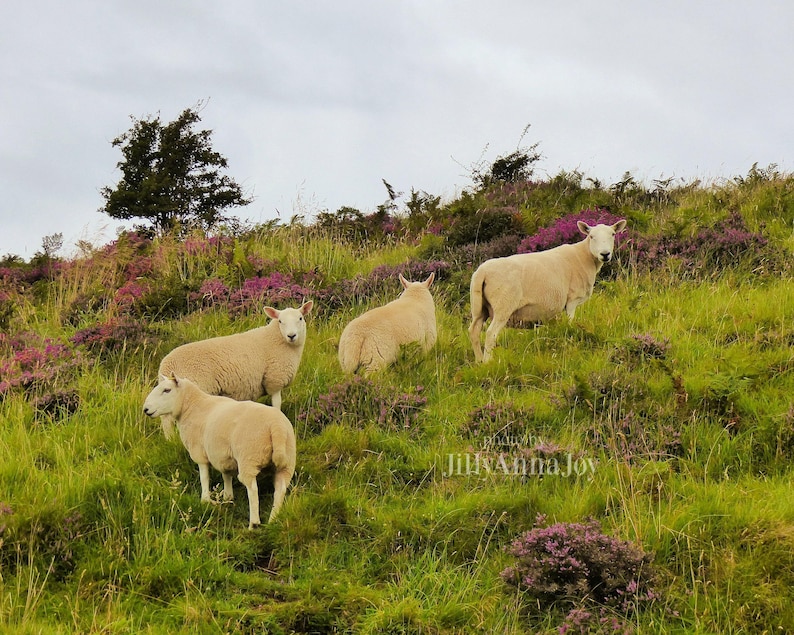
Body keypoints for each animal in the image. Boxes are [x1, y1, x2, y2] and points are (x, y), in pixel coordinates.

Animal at [143, 374, 296, 528]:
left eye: (167, 390)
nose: (145, 409)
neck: (192, 407)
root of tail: (276, 426)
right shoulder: (222, 454)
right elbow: (226, 474)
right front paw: (228, 497)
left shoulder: (199, 451)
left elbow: (204, 476)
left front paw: (205, 499)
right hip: (287, 462)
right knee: (280, 489)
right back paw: (273, 519)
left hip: (249, 457)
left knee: (252, 489)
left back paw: (253, 523)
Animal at [157, 301, 312, 438]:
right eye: (280, 321)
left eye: (300, 318)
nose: (291, 335)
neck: (277, 339)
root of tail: (166, 365)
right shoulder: (275, 379)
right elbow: (277, 404)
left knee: (166, 418)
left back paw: (171, 440)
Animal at [469, 220, 627, 362]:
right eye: (591, 236)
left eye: (613, 234)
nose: (605, 254)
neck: (584, 256)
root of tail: (482, 272)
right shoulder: (572, 299)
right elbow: (570, 323)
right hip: (504, 305)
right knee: (491, 333)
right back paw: (488, 362)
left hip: (479, 307)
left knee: (474, 331)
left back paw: (479, 361)